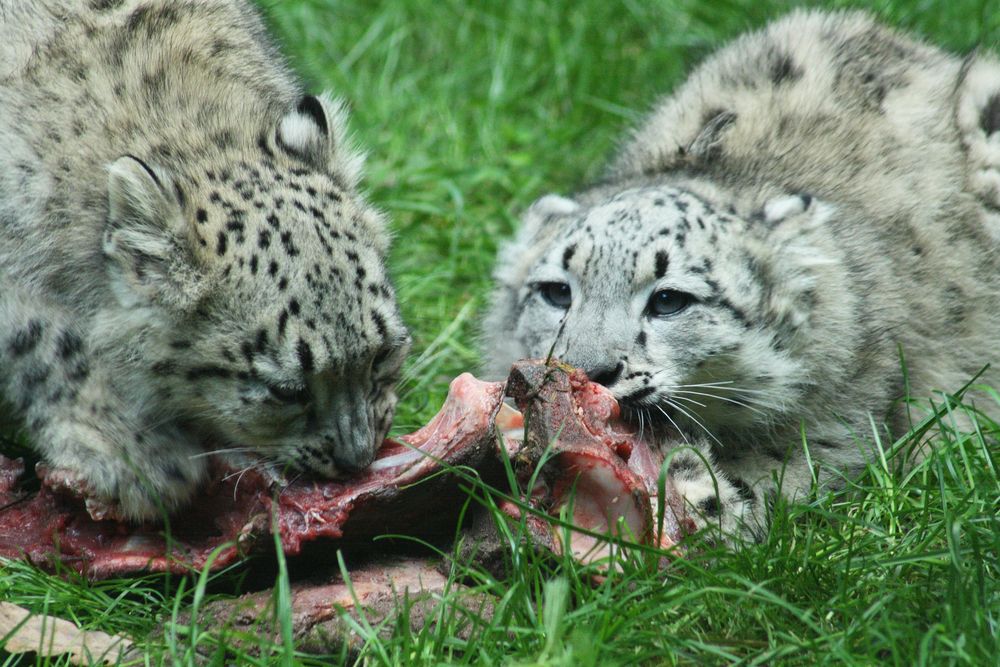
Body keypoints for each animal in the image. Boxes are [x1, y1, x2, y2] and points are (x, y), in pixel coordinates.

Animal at [484, 9, 1000, 544]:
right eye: (556, 292)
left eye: (669, 300)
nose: (586, 371)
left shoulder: (832, 432)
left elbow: (747, 494)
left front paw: (684, 476)